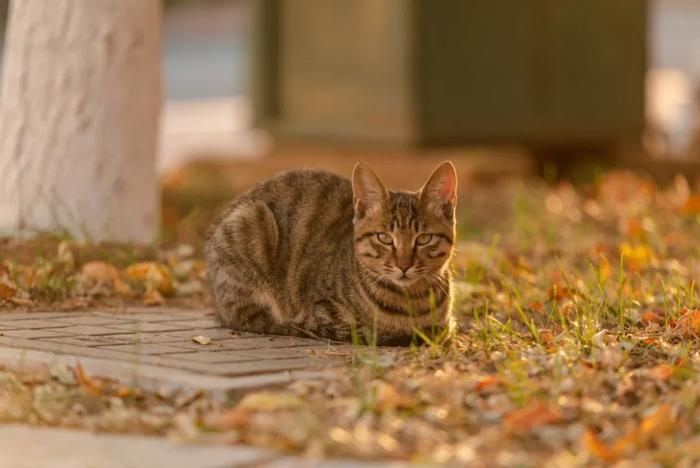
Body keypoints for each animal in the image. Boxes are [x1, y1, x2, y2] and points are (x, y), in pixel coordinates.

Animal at [205, 161, 456, 344]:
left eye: (424, 238)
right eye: (384, 238)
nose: (404, 265)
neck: (411, 302)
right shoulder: (323, 310)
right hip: (251, 222)